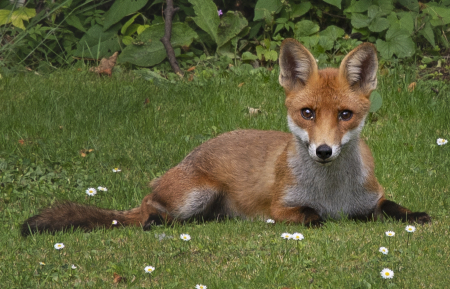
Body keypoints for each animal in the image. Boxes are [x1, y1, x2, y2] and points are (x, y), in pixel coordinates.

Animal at [21, 38, 428, 235]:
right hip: (196, 194)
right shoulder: (282, 208)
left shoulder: (370, 200)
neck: (333, 193)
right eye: (308, 113)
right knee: (149, 211)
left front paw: (416, 215)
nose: (324, 151)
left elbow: (392, 207)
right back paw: (154, 222)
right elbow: (313, 215)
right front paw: (324, 219)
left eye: (345, 115)